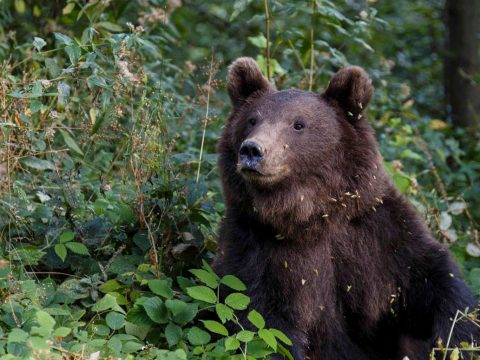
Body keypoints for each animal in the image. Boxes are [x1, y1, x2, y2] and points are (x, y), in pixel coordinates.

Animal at [214, 57, 480, 358]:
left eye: (298, 124)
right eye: (252, 120)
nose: (252, 150)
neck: (311, 215)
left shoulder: (378, 235)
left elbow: (431, 278)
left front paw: (458, 338)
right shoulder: (255, 247)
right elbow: (263, 322)